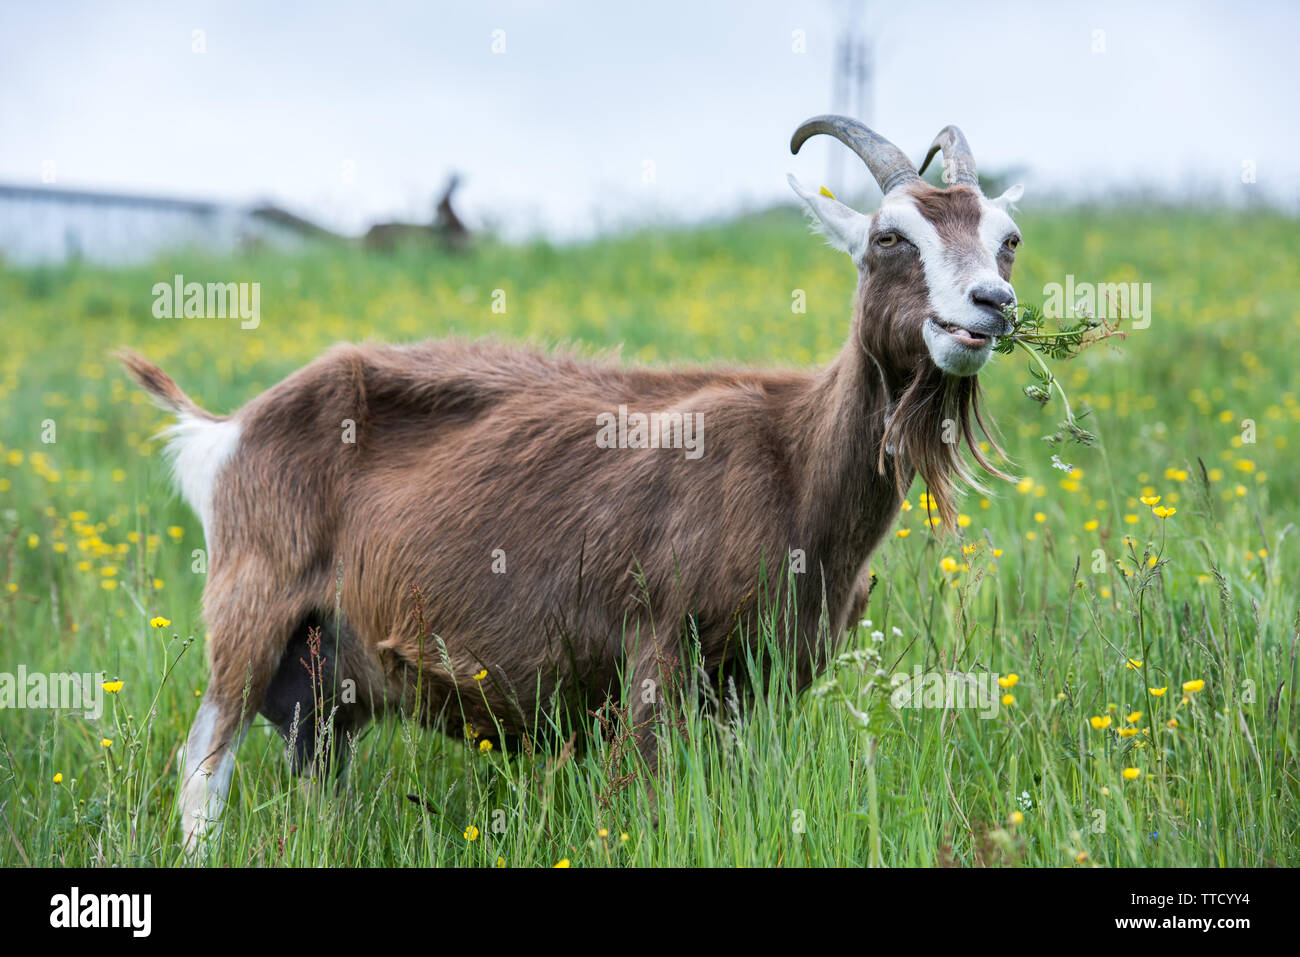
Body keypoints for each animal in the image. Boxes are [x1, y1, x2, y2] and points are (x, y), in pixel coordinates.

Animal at [119, 115, 1024, 847]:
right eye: (889, 238)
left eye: (1008, 237)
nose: (992, 304)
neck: (795, 461)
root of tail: (226, 429)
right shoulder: (661, 645)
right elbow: (652, 797)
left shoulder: (770, 678)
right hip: (252, 606)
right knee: (204, 759)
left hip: (325, 672)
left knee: (317, 771)